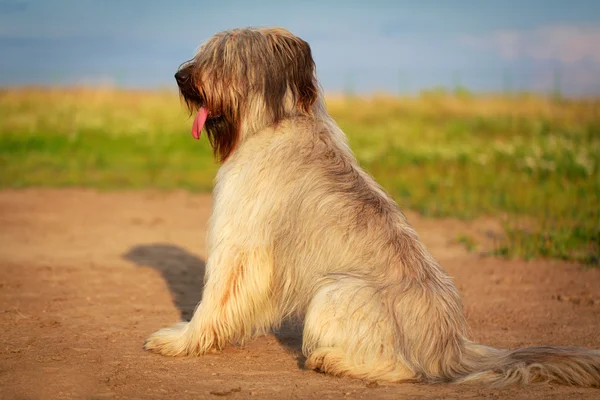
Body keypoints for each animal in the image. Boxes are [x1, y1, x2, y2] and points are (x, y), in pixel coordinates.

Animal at [146, 25, 600, 388]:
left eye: (224, 57)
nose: (180, 77)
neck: (273, 122)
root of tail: (450, 347)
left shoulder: (240, 243)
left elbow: (212, 299)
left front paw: (181, 340)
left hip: (337, 291)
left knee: (403, 370)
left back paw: (331, 360)